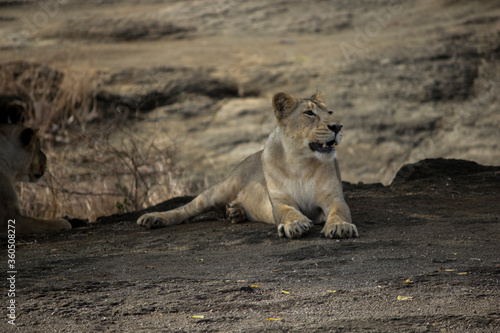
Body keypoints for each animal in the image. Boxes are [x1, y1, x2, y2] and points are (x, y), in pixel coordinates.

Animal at [137, 92, 356, 237]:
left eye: (330, 112)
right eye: (309, 113)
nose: (338, 126)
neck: (300, 163)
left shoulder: (333, 196)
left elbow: (339, 211)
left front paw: (340, 226)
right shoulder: (279, 200)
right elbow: (287, 211)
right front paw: (295, 224)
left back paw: (235, 211)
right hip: (221, 188)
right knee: (186, 209)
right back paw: (152, 218)